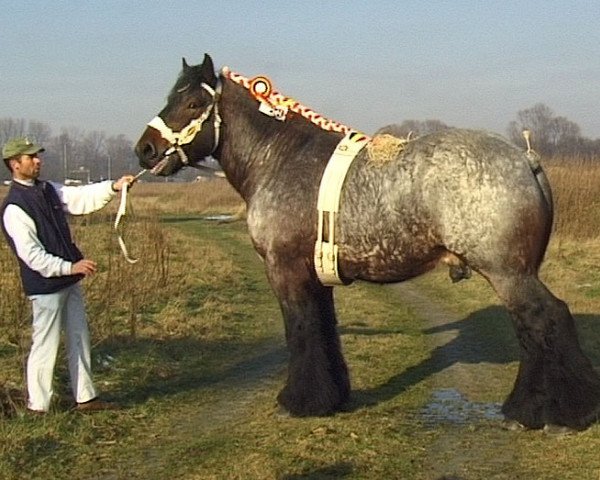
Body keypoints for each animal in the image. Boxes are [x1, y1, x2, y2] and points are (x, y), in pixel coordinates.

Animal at [135, 53, 600, 432]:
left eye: (193, 104)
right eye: (171, 97)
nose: (145, 149)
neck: (280, 159)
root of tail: (525, 158)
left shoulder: (284, 270)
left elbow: (300, 331)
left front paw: (298, 402)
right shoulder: (314, 277)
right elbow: (323, 330)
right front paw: (330, 398)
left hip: (508, 273)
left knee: (545, 321)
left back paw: (546, 412)